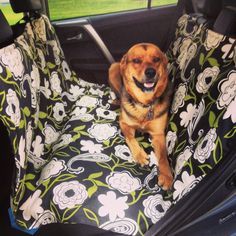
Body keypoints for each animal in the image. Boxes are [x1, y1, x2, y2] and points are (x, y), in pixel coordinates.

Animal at [109, 42, 173, 190]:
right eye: (137, 60)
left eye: (156, 59)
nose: (150, 72)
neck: (145, 103)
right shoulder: (124, 123)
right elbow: (130, 138)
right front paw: (139, 155)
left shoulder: (158, 134)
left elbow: (163, 156)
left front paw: (166, 175)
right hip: (113, 68)